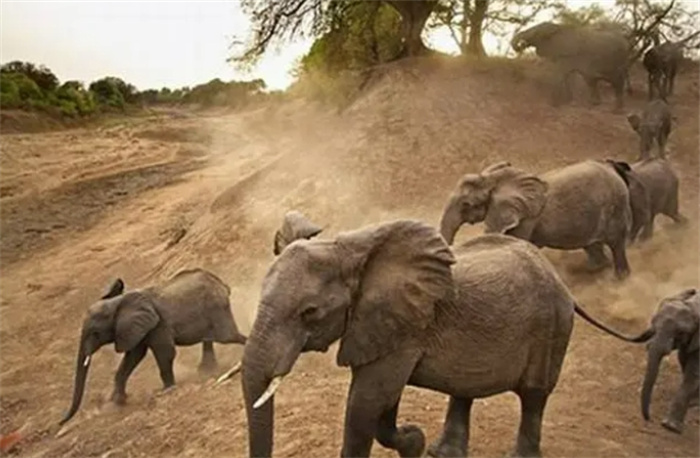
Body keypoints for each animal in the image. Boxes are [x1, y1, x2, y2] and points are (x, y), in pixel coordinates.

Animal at [58, 268, 247, 426]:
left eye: (95, 333)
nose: (60, 422)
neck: (118, 303)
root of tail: (220, 282)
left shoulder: (158, 323)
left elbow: (165, 352)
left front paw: (166, 390)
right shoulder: (136, 328)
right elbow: (133, 358)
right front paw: (117, 402)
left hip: (216, 306)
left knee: (227, 337)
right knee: (210, 338)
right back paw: (207, 370)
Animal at [239, 220, 640, 456]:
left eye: (309, 313)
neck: (351, 247)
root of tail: (562, 283)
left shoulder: (404, 325)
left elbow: (366, 402)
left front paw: (411, 440)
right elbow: (381, 401)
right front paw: (414, 442)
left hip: (552, 327)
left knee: (534, 395)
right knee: (466, 389)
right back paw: (440, 453)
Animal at [442, 157, 636, 280]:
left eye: (466, 204)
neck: (494, 179)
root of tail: (612, 168)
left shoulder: (526, 217)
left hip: (616, 207)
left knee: (616, 245)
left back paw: (619, 279)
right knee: (593, 247)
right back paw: (597, 272)